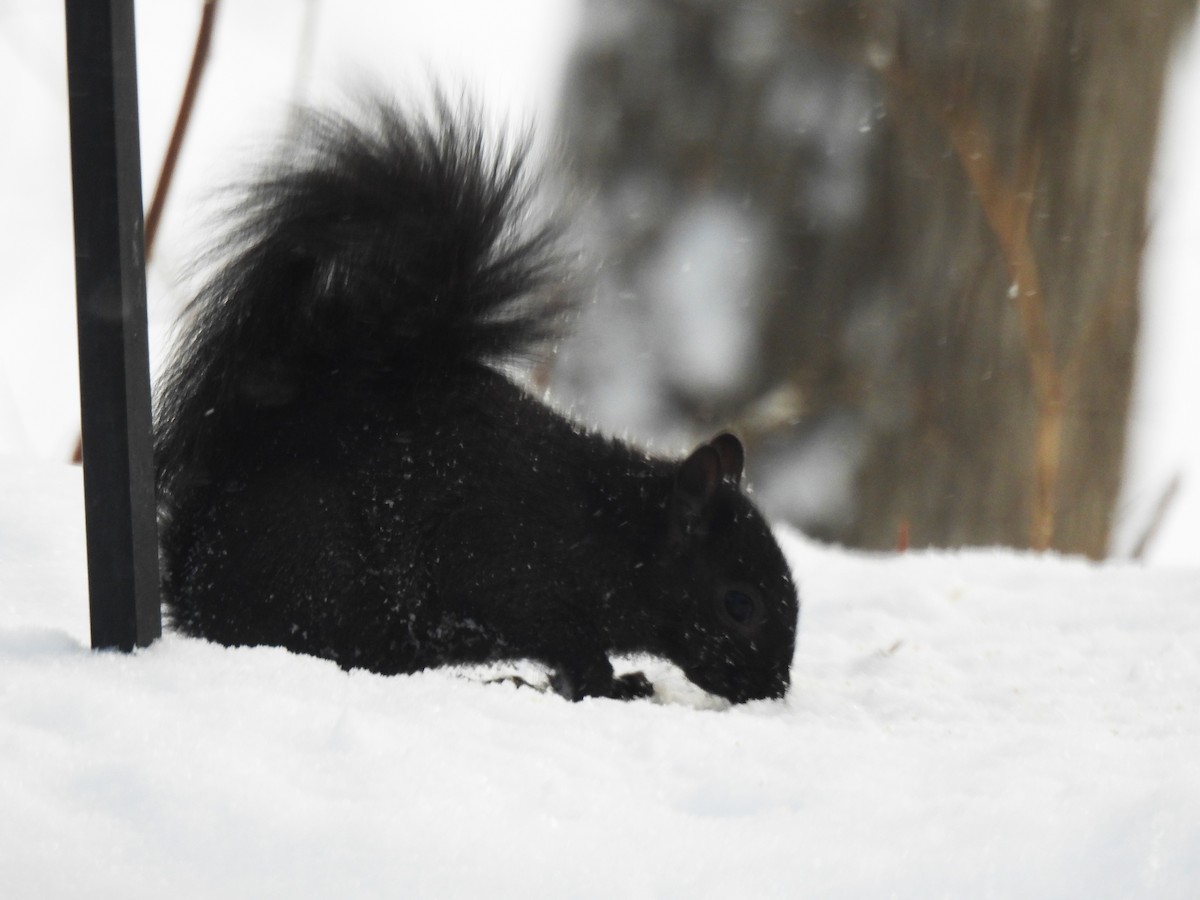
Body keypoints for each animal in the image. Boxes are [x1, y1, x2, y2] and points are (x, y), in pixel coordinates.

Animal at [154, 96, 799, 703]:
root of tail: (192, 576)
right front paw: (616, 685)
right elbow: (574, 649)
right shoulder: (511, 574)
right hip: (318, 569)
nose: (771, 688)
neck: (612, 534)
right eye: (739, 604)